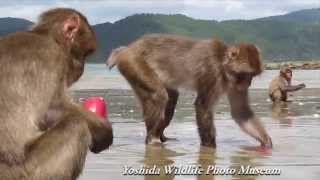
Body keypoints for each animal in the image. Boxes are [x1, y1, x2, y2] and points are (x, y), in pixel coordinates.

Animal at [0, 7, 114, 179]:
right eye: (84, 54)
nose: (82, 68)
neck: (44, 36)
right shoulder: (53, 56)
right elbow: (51, 108)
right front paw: (102, 129)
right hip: (24, 171)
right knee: (76, 125)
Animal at [106, 33, 272, 148]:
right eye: (245, 74)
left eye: (252, 76)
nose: (248, 84)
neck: (223, 65)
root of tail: (129, 47)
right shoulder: (211, 71)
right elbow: (203, 106)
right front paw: (210, 147)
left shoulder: (234, 85)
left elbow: (241, 111)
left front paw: (266, 142)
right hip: (133, 62)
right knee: (158, 95)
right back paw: (152, 139)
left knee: (171, 99)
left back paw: (161, 136)